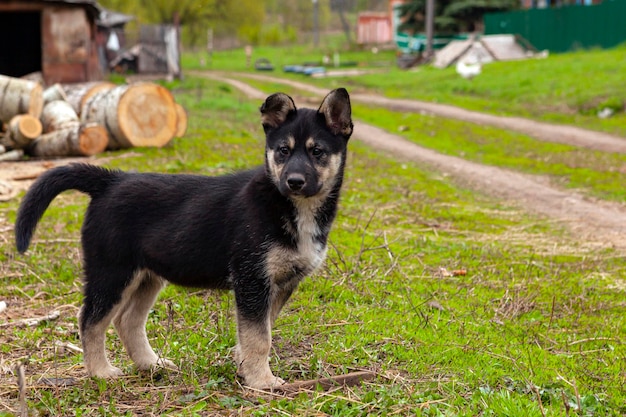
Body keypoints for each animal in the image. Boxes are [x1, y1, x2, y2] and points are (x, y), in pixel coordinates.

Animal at [15, 88, 352, 390]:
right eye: (283, 150)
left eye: (317, 151)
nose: (294, 182)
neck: (293, 207)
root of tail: (109, 181)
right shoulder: (252, 279)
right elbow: (259, 338)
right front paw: (262, 381)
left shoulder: (279, 284)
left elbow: (257, 332)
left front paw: (244, 367)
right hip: (111, 271)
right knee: (90, 320)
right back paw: (101, 372)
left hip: (146, 276)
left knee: (127, 321)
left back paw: (151, 364)